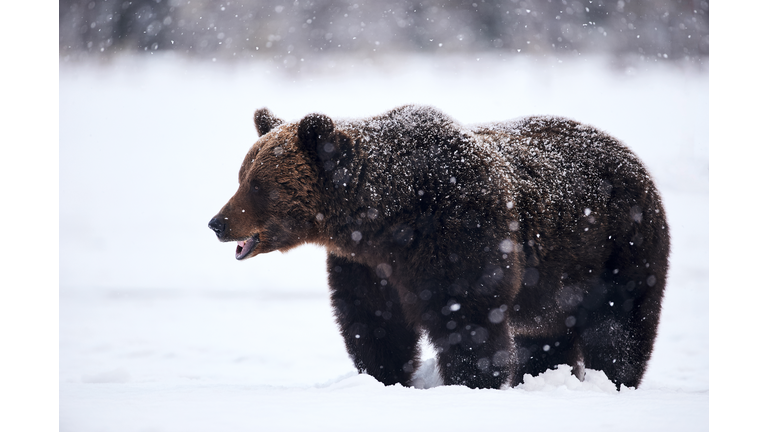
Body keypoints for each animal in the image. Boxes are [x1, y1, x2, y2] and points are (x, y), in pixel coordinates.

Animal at [208, 105, 669, 390]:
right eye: (241, 175)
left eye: (259, 185)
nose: (218, 223)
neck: (385, 220)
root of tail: (634, 159)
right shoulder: (368, 267)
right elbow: (373, 324)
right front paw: (385, 377)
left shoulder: (461, 236)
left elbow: (468, 320)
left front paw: (472, 382)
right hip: (557, 280)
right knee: (545, 333)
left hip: (618, 249)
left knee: (619, 328)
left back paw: (613, 380)